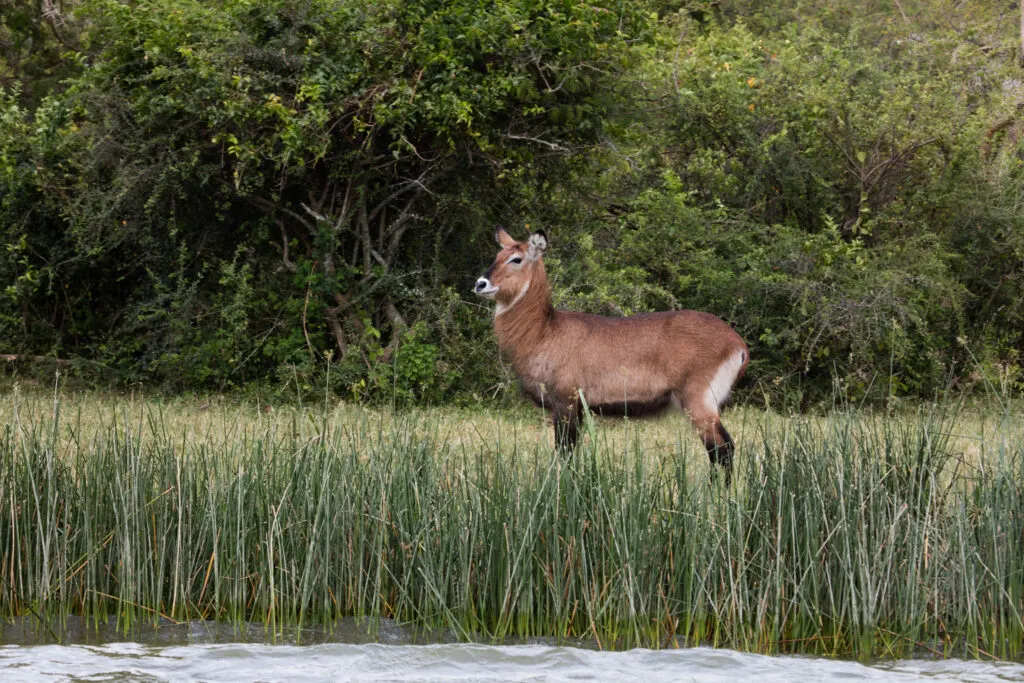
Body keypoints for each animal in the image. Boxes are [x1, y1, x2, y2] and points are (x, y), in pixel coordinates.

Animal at [474, 227, 748, 483]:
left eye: (516, 259)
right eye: (497, 256)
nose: (480, 284)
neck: (544, 331)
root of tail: (739, 344)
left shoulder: (566, 402)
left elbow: (565, 454)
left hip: (699, 402)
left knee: (722, 449)